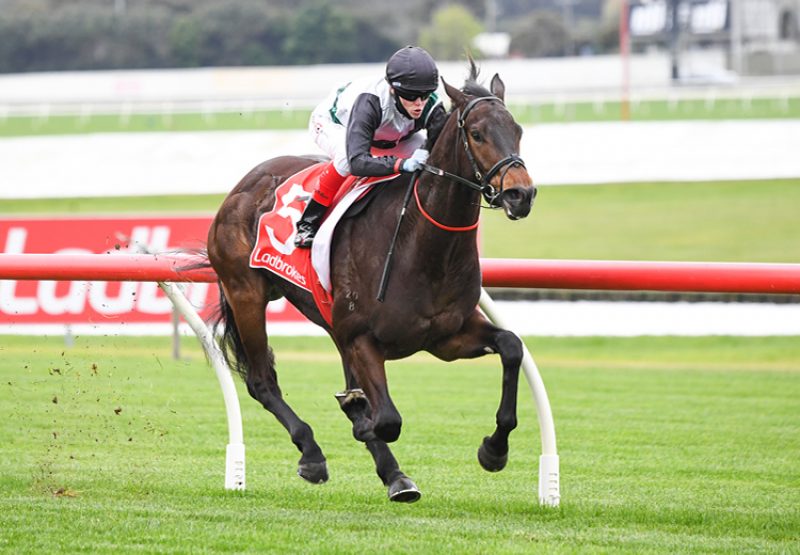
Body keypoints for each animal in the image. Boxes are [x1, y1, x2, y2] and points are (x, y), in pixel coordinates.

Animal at [206, 62, 536, 504]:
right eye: (478, 133)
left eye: (517, 129)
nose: (521, 194)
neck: (425, 247)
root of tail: (242, 187)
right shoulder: (363, 338)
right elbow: (388, 420)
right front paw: (359, 418)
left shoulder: (447, 337)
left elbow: (511, 346)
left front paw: (494, 449)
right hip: (246, 293)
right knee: (262, 382)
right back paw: (313, 453)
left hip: (327, 319)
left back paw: (392, 471)